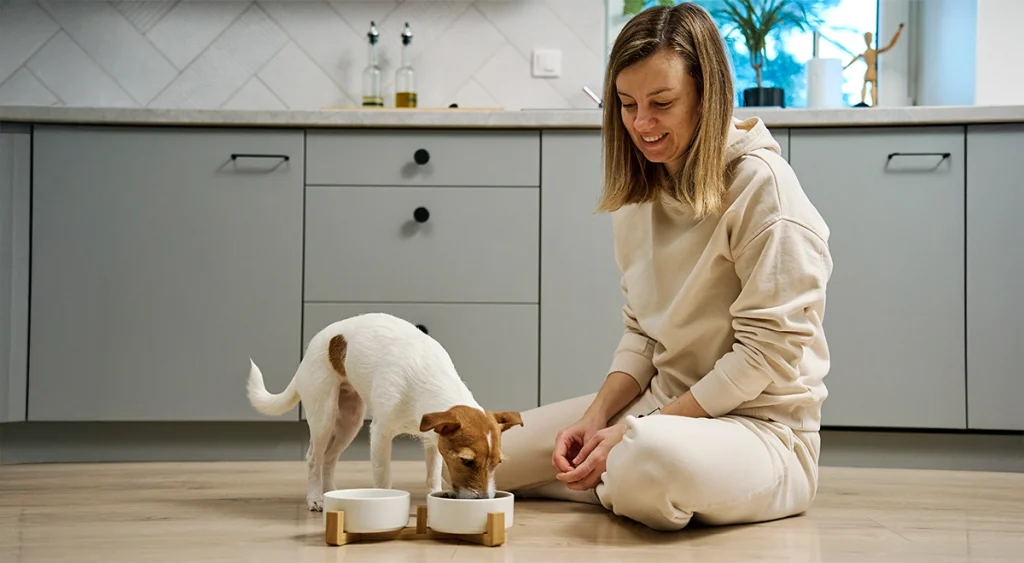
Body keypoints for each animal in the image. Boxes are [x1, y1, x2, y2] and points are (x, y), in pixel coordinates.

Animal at [244, 313, 524, 511]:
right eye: (466, 461)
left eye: (497, 463)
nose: (485, 499)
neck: (428, 378)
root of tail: (313, 344)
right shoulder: (380, 434)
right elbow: (383, 479)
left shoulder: (433, 441)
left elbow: (432, 477)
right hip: (323, 415)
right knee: (315, 457)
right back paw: (315, 498)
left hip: (350, 421)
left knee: (330, 458)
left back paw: (330, 492)